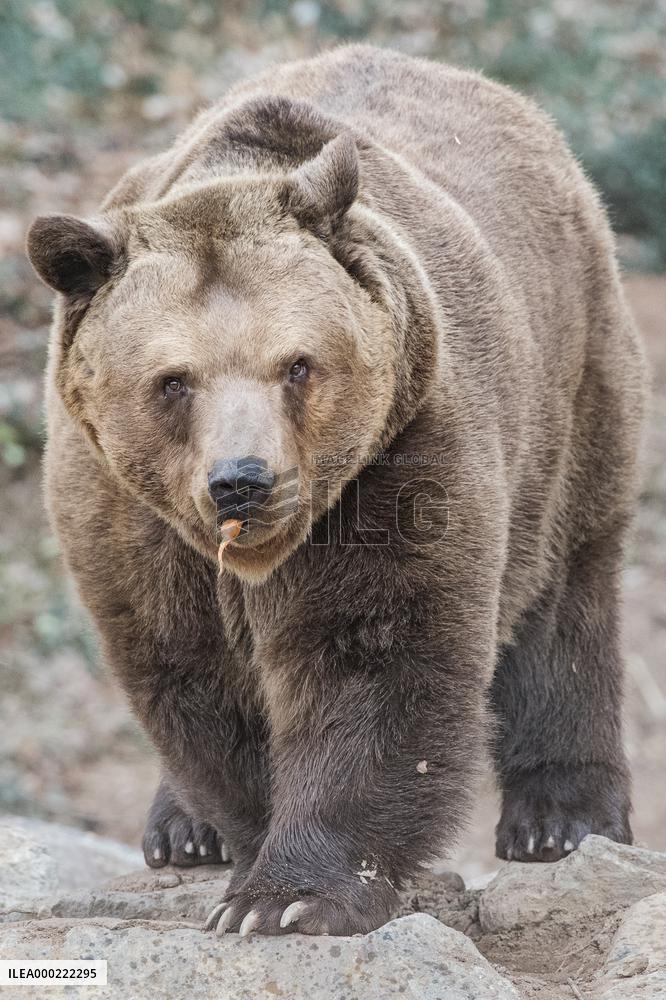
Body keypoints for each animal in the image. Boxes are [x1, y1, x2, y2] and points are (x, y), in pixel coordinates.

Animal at [27, 44, 647, 937]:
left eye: (298, 364)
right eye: (173, 380)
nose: (242, 483)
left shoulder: (397, 458)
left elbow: (371, 654)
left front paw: (290, 896)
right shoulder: (128, 516)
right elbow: (196, 676)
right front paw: (244, 854)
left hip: (570, 387)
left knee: (568, 589)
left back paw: (563, 818)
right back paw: (180, 830)